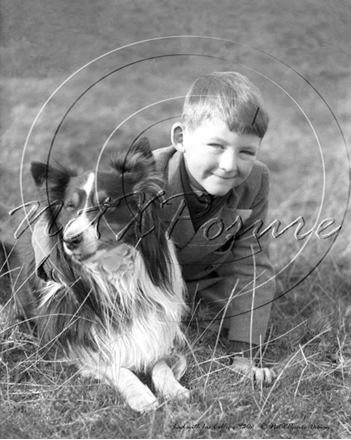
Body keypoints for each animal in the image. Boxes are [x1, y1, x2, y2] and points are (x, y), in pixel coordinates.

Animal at [28, 138, 190, 412]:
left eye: (108, 203)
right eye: (70, 206)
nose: (70, 240)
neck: (113, 271)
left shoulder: (154, 332)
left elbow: (160, 363)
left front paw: (174, 389)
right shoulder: (74, 344)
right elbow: (117, 367)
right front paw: (141, 395)